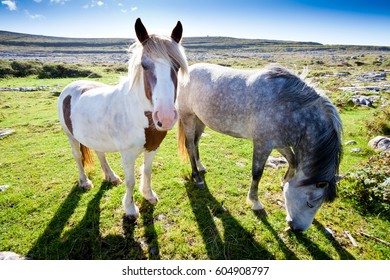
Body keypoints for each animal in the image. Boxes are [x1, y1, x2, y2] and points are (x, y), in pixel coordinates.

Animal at [57, 18, 189, 220]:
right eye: (144, 65)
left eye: (177, 66)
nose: (165, 117)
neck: (139, 115)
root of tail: (72, 86)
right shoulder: (127, 155)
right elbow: (131, 181)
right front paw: (130, 209)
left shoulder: (153, 148)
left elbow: (147, 171)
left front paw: (149, 195)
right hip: (70, 136)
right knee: (77, 156)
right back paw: (84, 182)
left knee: (100, 153)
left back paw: (111, 177)